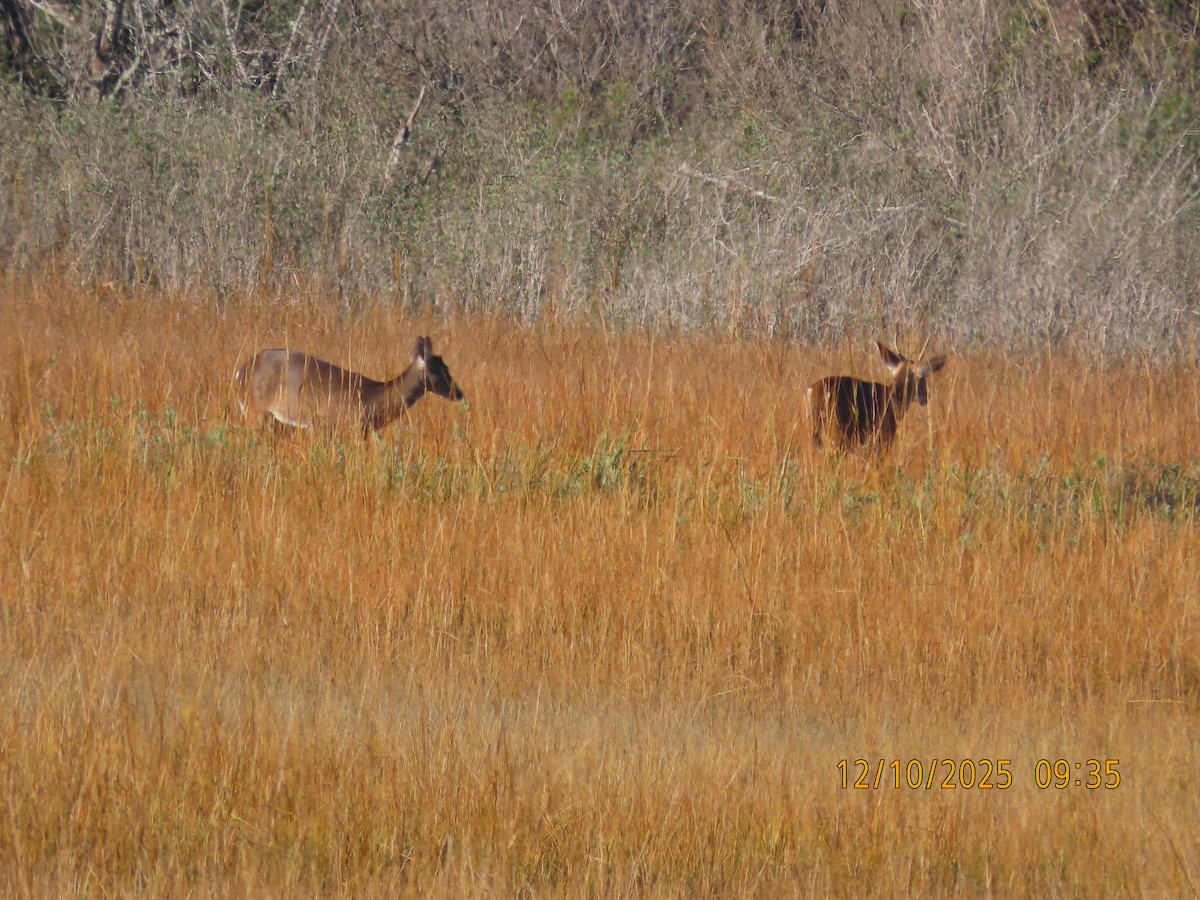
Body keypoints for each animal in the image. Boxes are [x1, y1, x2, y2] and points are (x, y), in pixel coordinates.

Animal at [234, 335, 465, 437]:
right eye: (442, 370)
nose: (460, 393)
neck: (373, 398)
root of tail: (240, 373)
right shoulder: (348, 425)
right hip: (255, 411)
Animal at [807, 341, 947, 454]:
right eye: (922, 377)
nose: (925, 396)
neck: (892, 395)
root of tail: (812, 390)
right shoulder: (883, 435)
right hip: (838, 429)